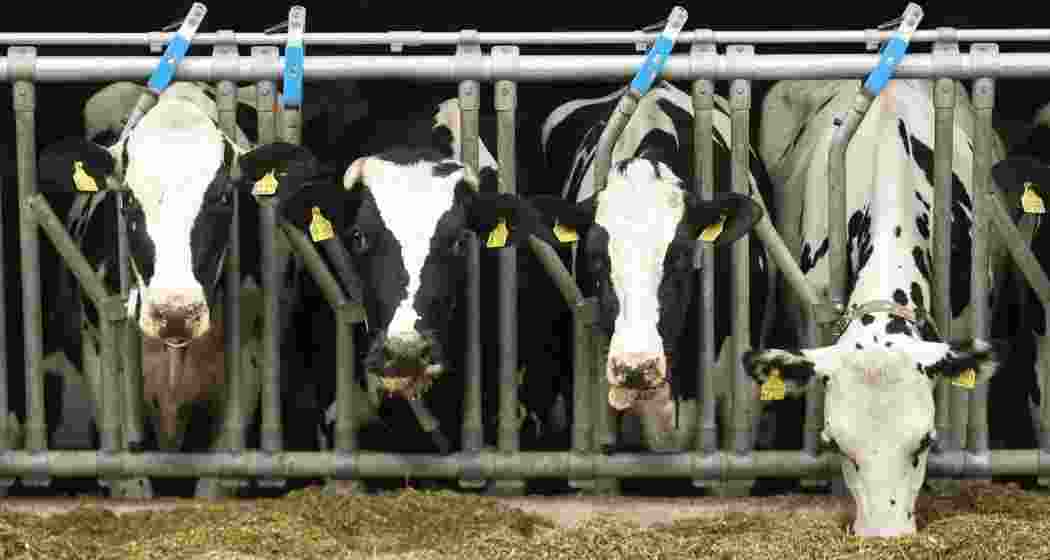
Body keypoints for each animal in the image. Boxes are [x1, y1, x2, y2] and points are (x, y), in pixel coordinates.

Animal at [34, 82, 368, 497]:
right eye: (127, 199)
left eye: (224, 197)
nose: (176, 312)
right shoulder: (101, 360)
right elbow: (130, 481)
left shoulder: (248, 363)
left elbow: (215, 480)